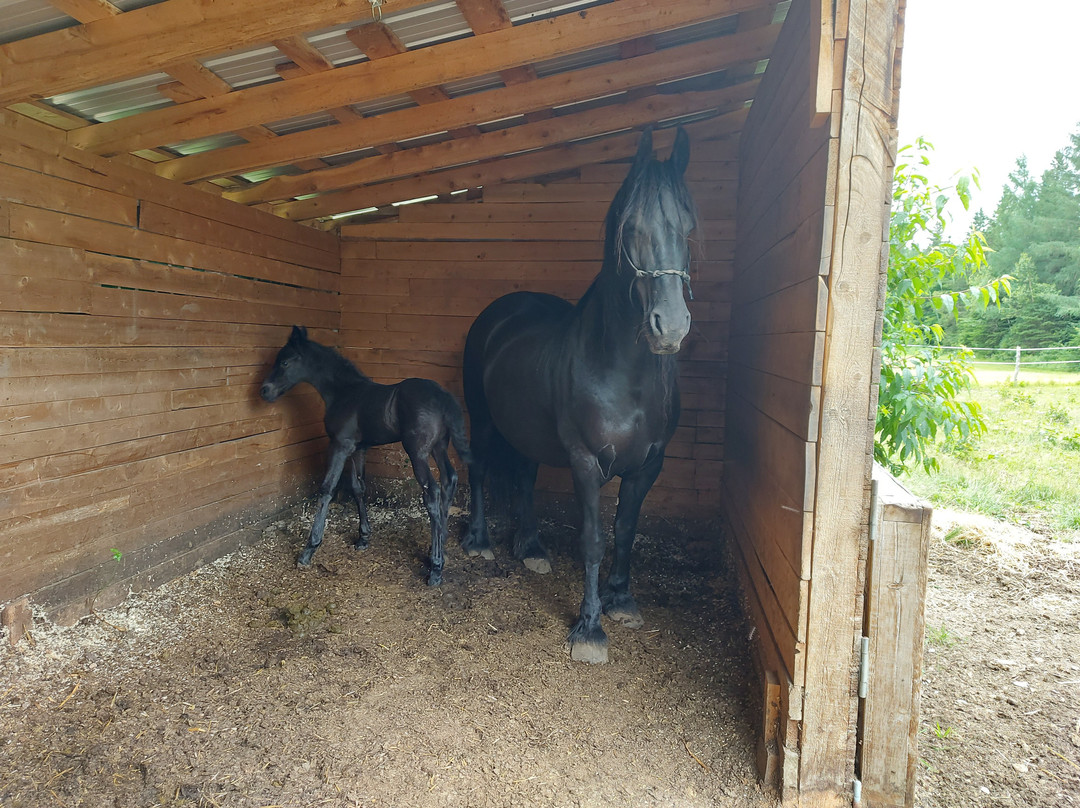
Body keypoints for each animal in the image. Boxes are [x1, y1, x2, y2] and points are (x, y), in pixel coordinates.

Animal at [260, 326, 472, 586]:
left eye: (285, 362)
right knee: (449, 480)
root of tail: (442, 396)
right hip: (439, 447)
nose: (264, 390)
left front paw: (309, 549)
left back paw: (436, 568)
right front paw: (363, 538)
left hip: (417, 452)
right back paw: (441, 545)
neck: (344, 393)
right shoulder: (359, 448)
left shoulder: (340, 445)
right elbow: (358, 487)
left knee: (432, 492)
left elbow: (327, 488)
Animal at [461, 127, 696, 663]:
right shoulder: (586, 462)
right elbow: (592, 540)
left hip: (525, 429)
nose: (670, 327)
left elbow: (625, 529)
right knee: (480, 470)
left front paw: (621, 600)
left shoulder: (649, 464)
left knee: (524, 478)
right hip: (482, 420)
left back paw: (531, 548)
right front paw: (589, 628)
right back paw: (480, 541)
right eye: (631, 229)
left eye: (688, 227)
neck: (625, 374)